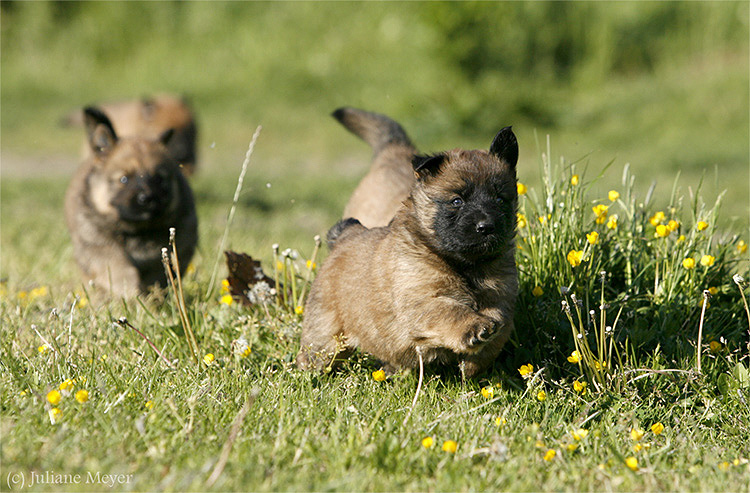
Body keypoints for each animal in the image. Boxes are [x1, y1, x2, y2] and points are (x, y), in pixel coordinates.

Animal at [64, 106, 198, 296]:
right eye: (124, 179)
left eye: (159, 179)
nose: (147, 199)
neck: (138, 231)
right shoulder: (99, 246)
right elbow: (118, 268)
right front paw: (130, 293)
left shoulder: (180, 243)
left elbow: (158, 272)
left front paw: (152, 295)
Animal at [296, 124, 520, 376]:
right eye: (457, 201)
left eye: (500, 199)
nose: (487, 226)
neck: (465, 265)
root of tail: (346, 234)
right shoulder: (422, 299)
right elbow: (450, 311)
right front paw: (474, 327)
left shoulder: (501, 297)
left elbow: (499, 323)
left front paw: (473, 363)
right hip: (325, 334)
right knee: (313, 354)